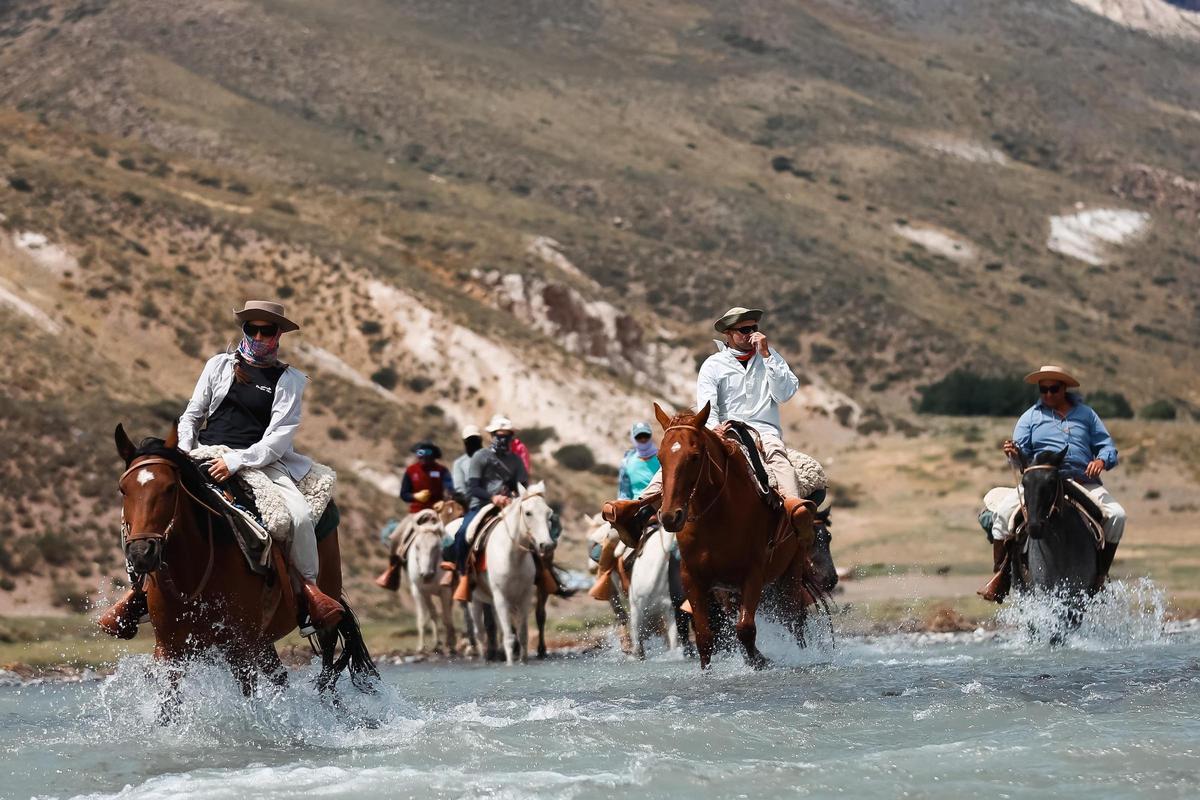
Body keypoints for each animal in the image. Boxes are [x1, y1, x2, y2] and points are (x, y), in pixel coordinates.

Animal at [113, 424, 374, 700]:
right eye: (123, 489)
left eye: (171, 487)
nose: (141, 552)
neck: (193, 575)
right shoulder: (169, 651)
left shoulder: (239, 651)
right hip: (262, 642)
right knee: (282, 677)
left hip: (323, 625)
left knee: (327, 678)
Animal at [405, 510, 456, 652]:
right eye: (417, 546)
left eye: (436, 546)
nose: (426, 575)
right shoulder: (422, 592)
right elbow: (427, 617)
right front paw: (422, 646)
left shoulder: (445, 591)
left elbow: (446, 617)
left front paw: (449, 645)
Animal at [470, 484, 559, 666]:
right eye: (528, 512)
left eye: (549, 513)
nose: (547, 545)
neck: (512, 556)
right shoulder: (501, 597)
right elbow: (509, 636)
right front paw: (510, 662)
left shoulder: (524, 596)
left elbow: (522, 633)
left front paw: (523, 660)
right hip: (474, 600)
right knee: (480, 631)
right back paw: (485, 658)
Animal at [652, 402, 830, 671]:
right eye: (660, 458)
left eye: (694, 456)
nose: (671, 516)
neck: (716, 517)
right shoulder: (693, 579)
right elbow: (705, 637)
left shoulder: (753, 574)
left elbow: (745, 628)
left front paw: (761, 661)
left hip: (790, 573)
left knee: (794, 621)